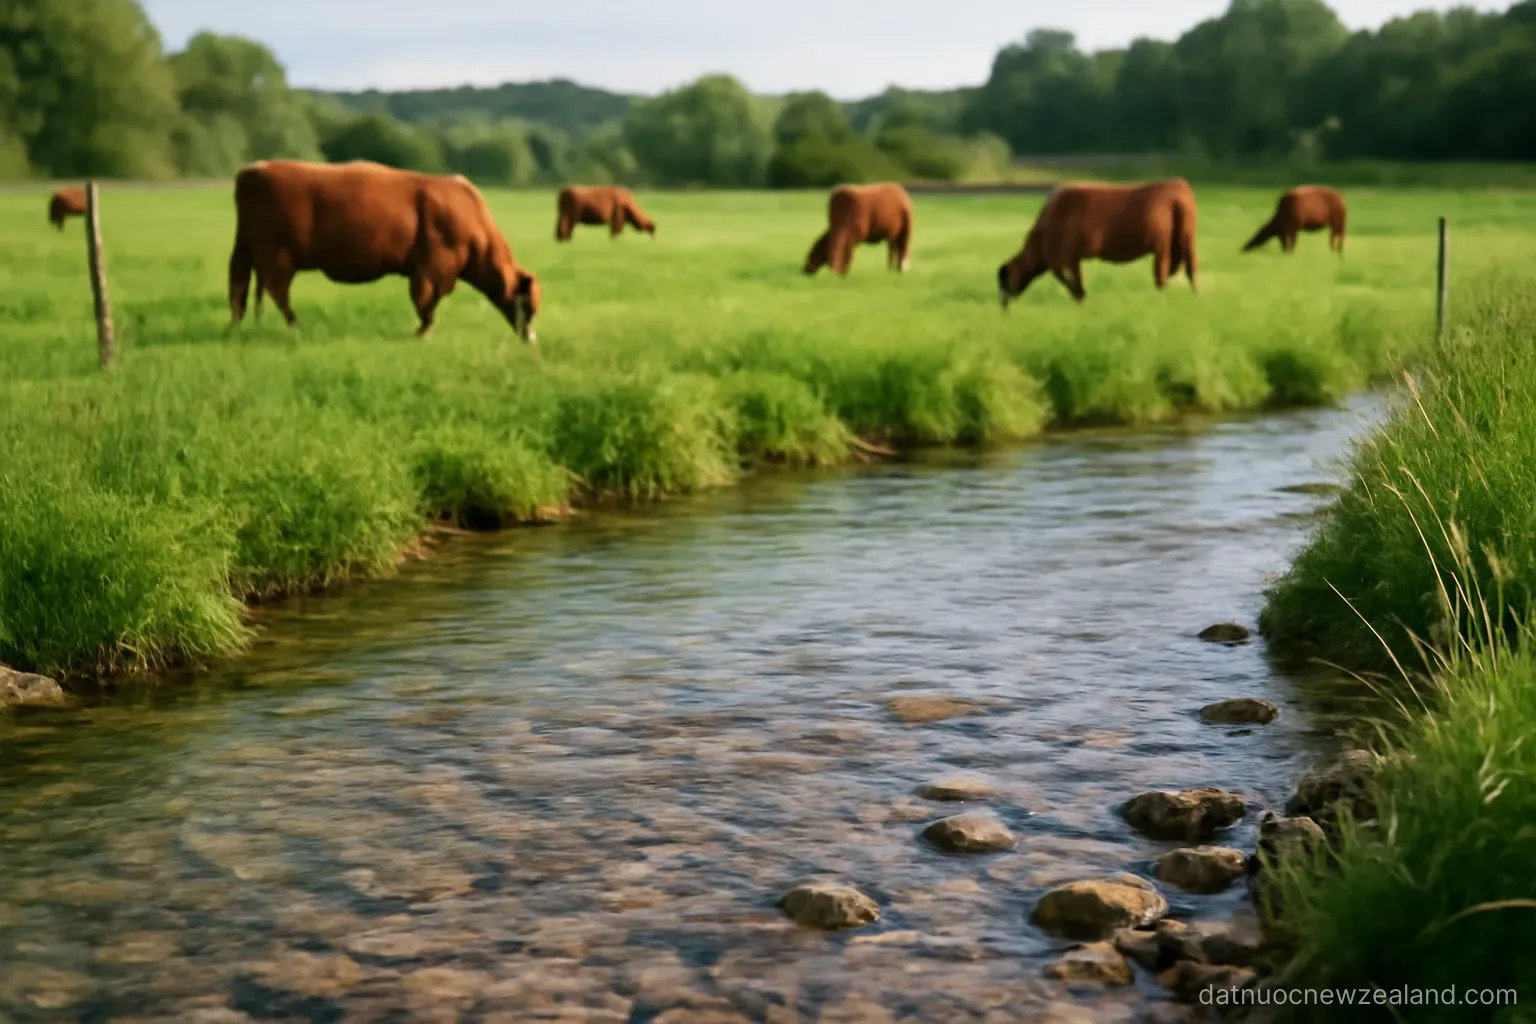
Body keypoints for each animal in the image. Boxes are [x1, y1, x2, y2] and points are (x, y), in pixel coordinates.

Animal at [227, 159, 540, 342]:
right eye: (527, 304)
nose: (531, 337)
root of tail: (256, 169)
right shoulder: (432, 270)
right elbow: (426, 302)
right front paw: (423, 331)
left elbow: (428, 303)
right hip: (278, 256)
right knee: (276, 290)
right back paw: (296, 327)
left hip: (254, 251)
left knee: (246, 289)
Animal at [997, 179, 1198, 306]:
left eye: (1004, 281)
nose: (1003, 306)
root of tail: (1175, 185)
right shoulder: (1073, 257)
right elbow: (1077, 280)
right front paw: (1083, 300)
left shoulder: (1060, 258)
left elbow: (1069, 281)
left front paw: (1082, 300)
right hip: (1184, 241)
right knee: (1188, 268)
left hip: (1162, 246)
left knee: (1162, 276)